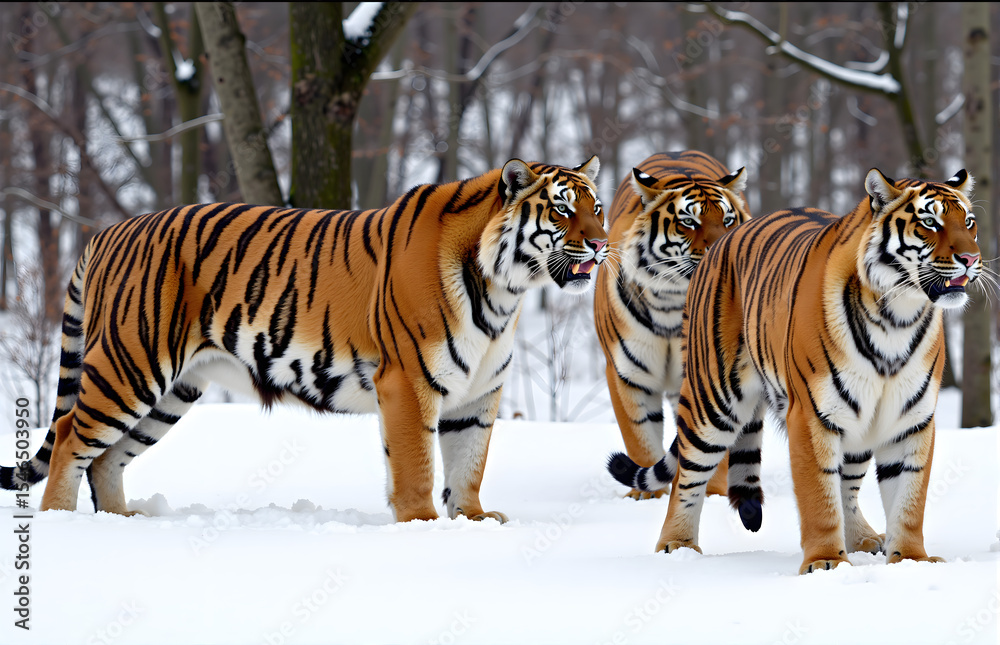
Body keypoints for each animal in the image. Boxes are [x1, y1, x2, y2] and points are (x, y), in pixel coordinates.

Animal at [1, 157, 609, 524]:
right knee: (70, 436)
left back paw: (125, 520)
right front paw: (422, 527)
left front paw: (474, 521)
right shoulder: (408, 382)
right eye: (561, 209)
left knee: (106, 457)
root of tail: (107, 231)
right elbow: (416, 466)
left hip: (174, 391)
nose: (603, 245)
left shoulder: (479, 393)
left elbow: (468, 463)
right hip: (130, 365)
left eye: (597, 207)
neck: (504, 290)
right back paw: (60, 518)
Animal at [595, 151, 750, 499]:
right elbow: (640, 439)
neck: (670, 305)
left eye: (728, 220)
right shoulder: (627, 374)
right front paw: (646, 497)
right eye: (689, 222)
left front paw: (714, 494)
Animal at [607, 168, 980, 574]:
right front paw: (826, 562)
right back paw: (676, 544)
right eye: (930, 223)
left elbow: (908, 500)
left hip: (859, 423)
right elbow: (819, 497)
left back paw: (864, 539)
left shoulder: (910, 420)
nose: (971, 257)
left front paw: (911, 560)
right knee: (686, 478)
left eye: (968, 222)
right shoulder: (812, 415)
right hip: (713, 402)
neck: (897, 317)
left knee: (847, 487)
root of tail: (719, 242)